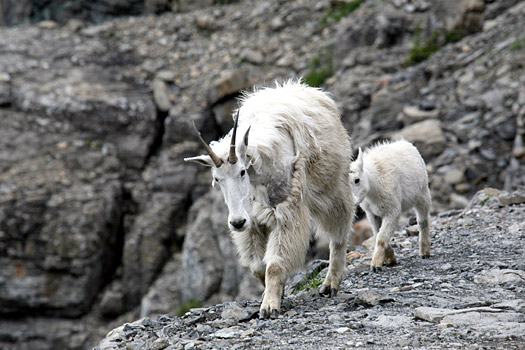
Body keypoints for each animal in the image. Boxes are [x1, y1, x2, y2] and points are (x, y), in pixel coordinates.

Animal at [182, 80, 354, 318]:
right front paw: (274, 295)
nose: (236, 222)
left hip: (333, 187)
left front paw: (270, 306)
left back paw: (330, 284)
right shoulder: (252, 222)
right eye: (217, 179)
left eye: (242, 172)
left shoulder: (287, 212)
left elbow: (274, 264)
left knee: (339, 232)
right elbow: (257, 267)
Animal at [348, 139, 430, 270]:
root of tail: (405, 142)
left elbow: (381, 238)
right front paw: (390, 258)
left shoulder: (392, 211)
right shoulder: (372, 214)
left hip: (423, 193)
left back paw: (424, 251)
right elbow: (377, 234)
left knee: (423, 222)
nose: (351, 202)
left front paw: (376, 264)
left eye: (357, 180)